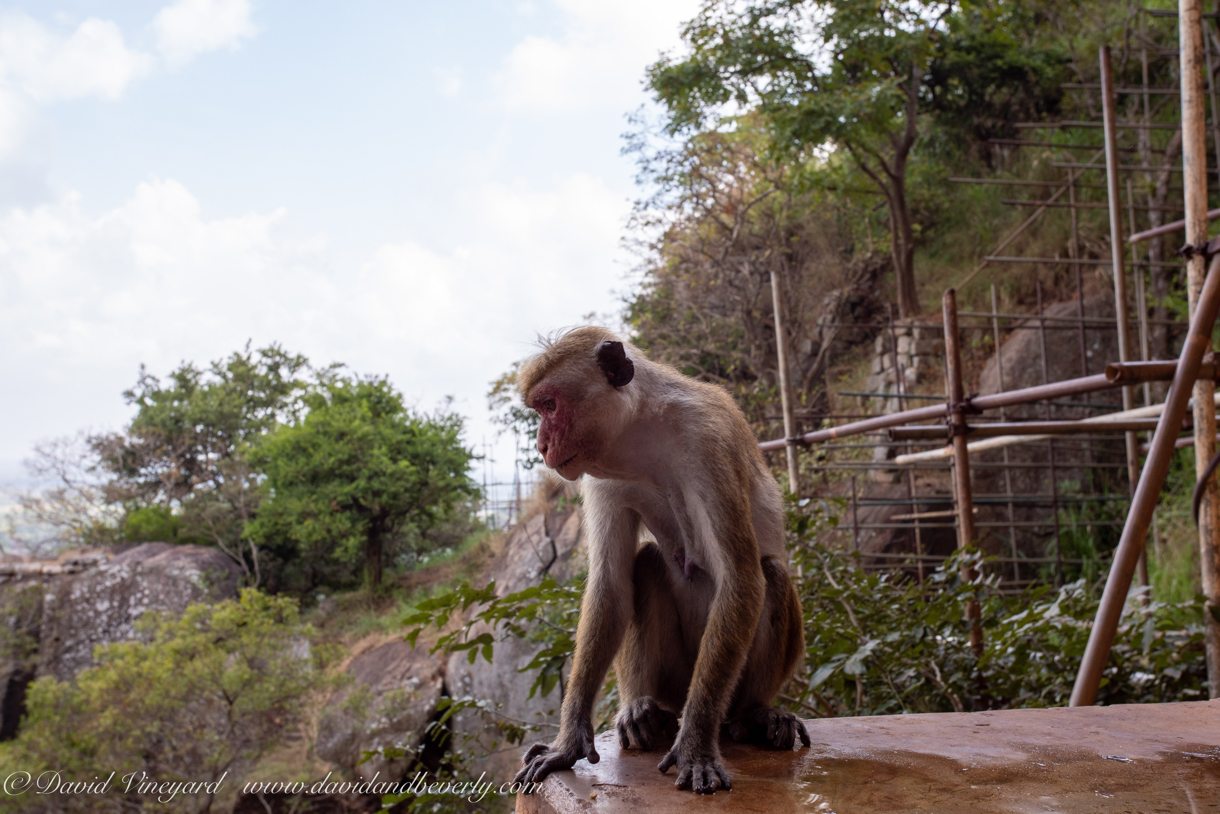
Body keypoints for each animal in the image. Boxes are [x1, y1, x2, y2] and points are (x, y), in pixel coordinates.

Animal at [512, 327, 810, 795]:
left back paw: (755, 715)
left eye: (550, 405)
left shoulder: (708, 440)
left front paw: (696, 745)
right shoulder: (599, 474)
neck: (642, 431)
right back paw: (643, 710)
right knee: (648, 564)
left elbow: (741, 579)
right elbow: (611, 584)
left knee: (771, 574)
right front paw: (568, 741)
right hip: (674, 677)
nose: (542, 445)